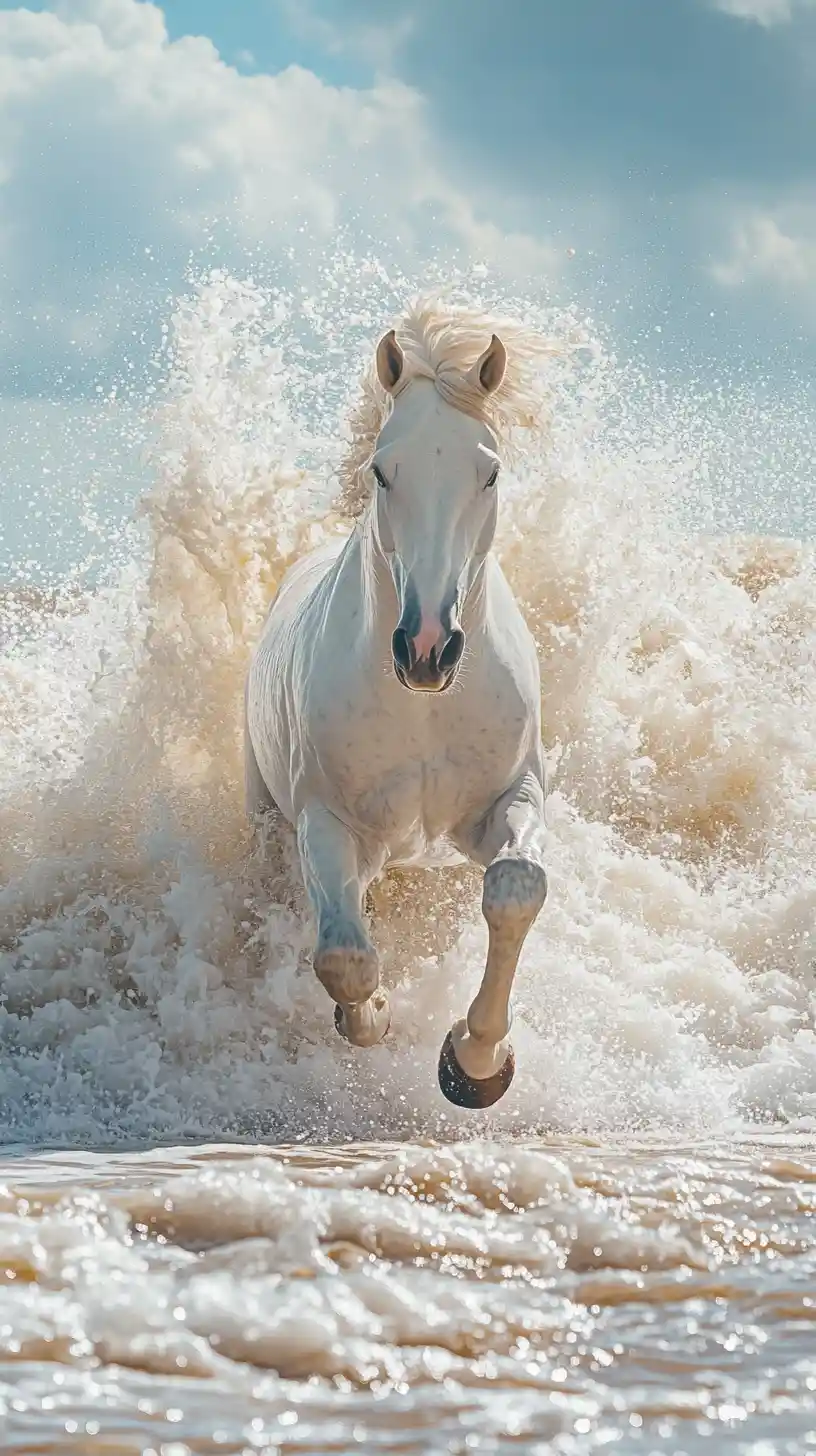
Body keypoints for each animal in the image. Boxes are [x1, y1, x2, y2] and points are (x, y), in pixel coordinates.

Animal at [245, 301, 551, 1108]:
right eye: (384, 471)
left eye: (489, 471)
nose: (428, 647)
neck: (424, 712)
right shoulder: (327, 822)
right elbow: (345, 959)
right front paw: (375, 1015)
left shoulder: (509, 800)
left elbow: (516, 888)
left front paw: (475, 1061)